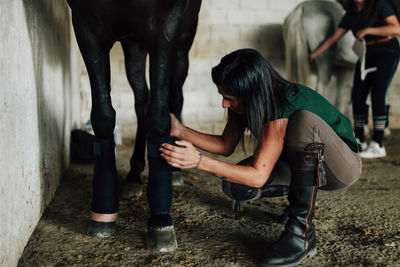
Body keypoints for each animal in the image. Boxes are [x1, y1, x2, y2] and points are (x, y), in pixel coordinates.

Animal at [67, 0, 203, 253]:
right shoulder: (86, 27)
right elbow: (103, 116)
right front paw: (103, 214)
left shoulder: (165, 26)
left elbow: (159, 116)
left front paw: (160, 221)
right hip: (134, 44)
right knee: (143, 100)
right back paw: (133, 175)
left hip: (183, 41)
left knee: (174, 97)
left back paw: (175, 169)